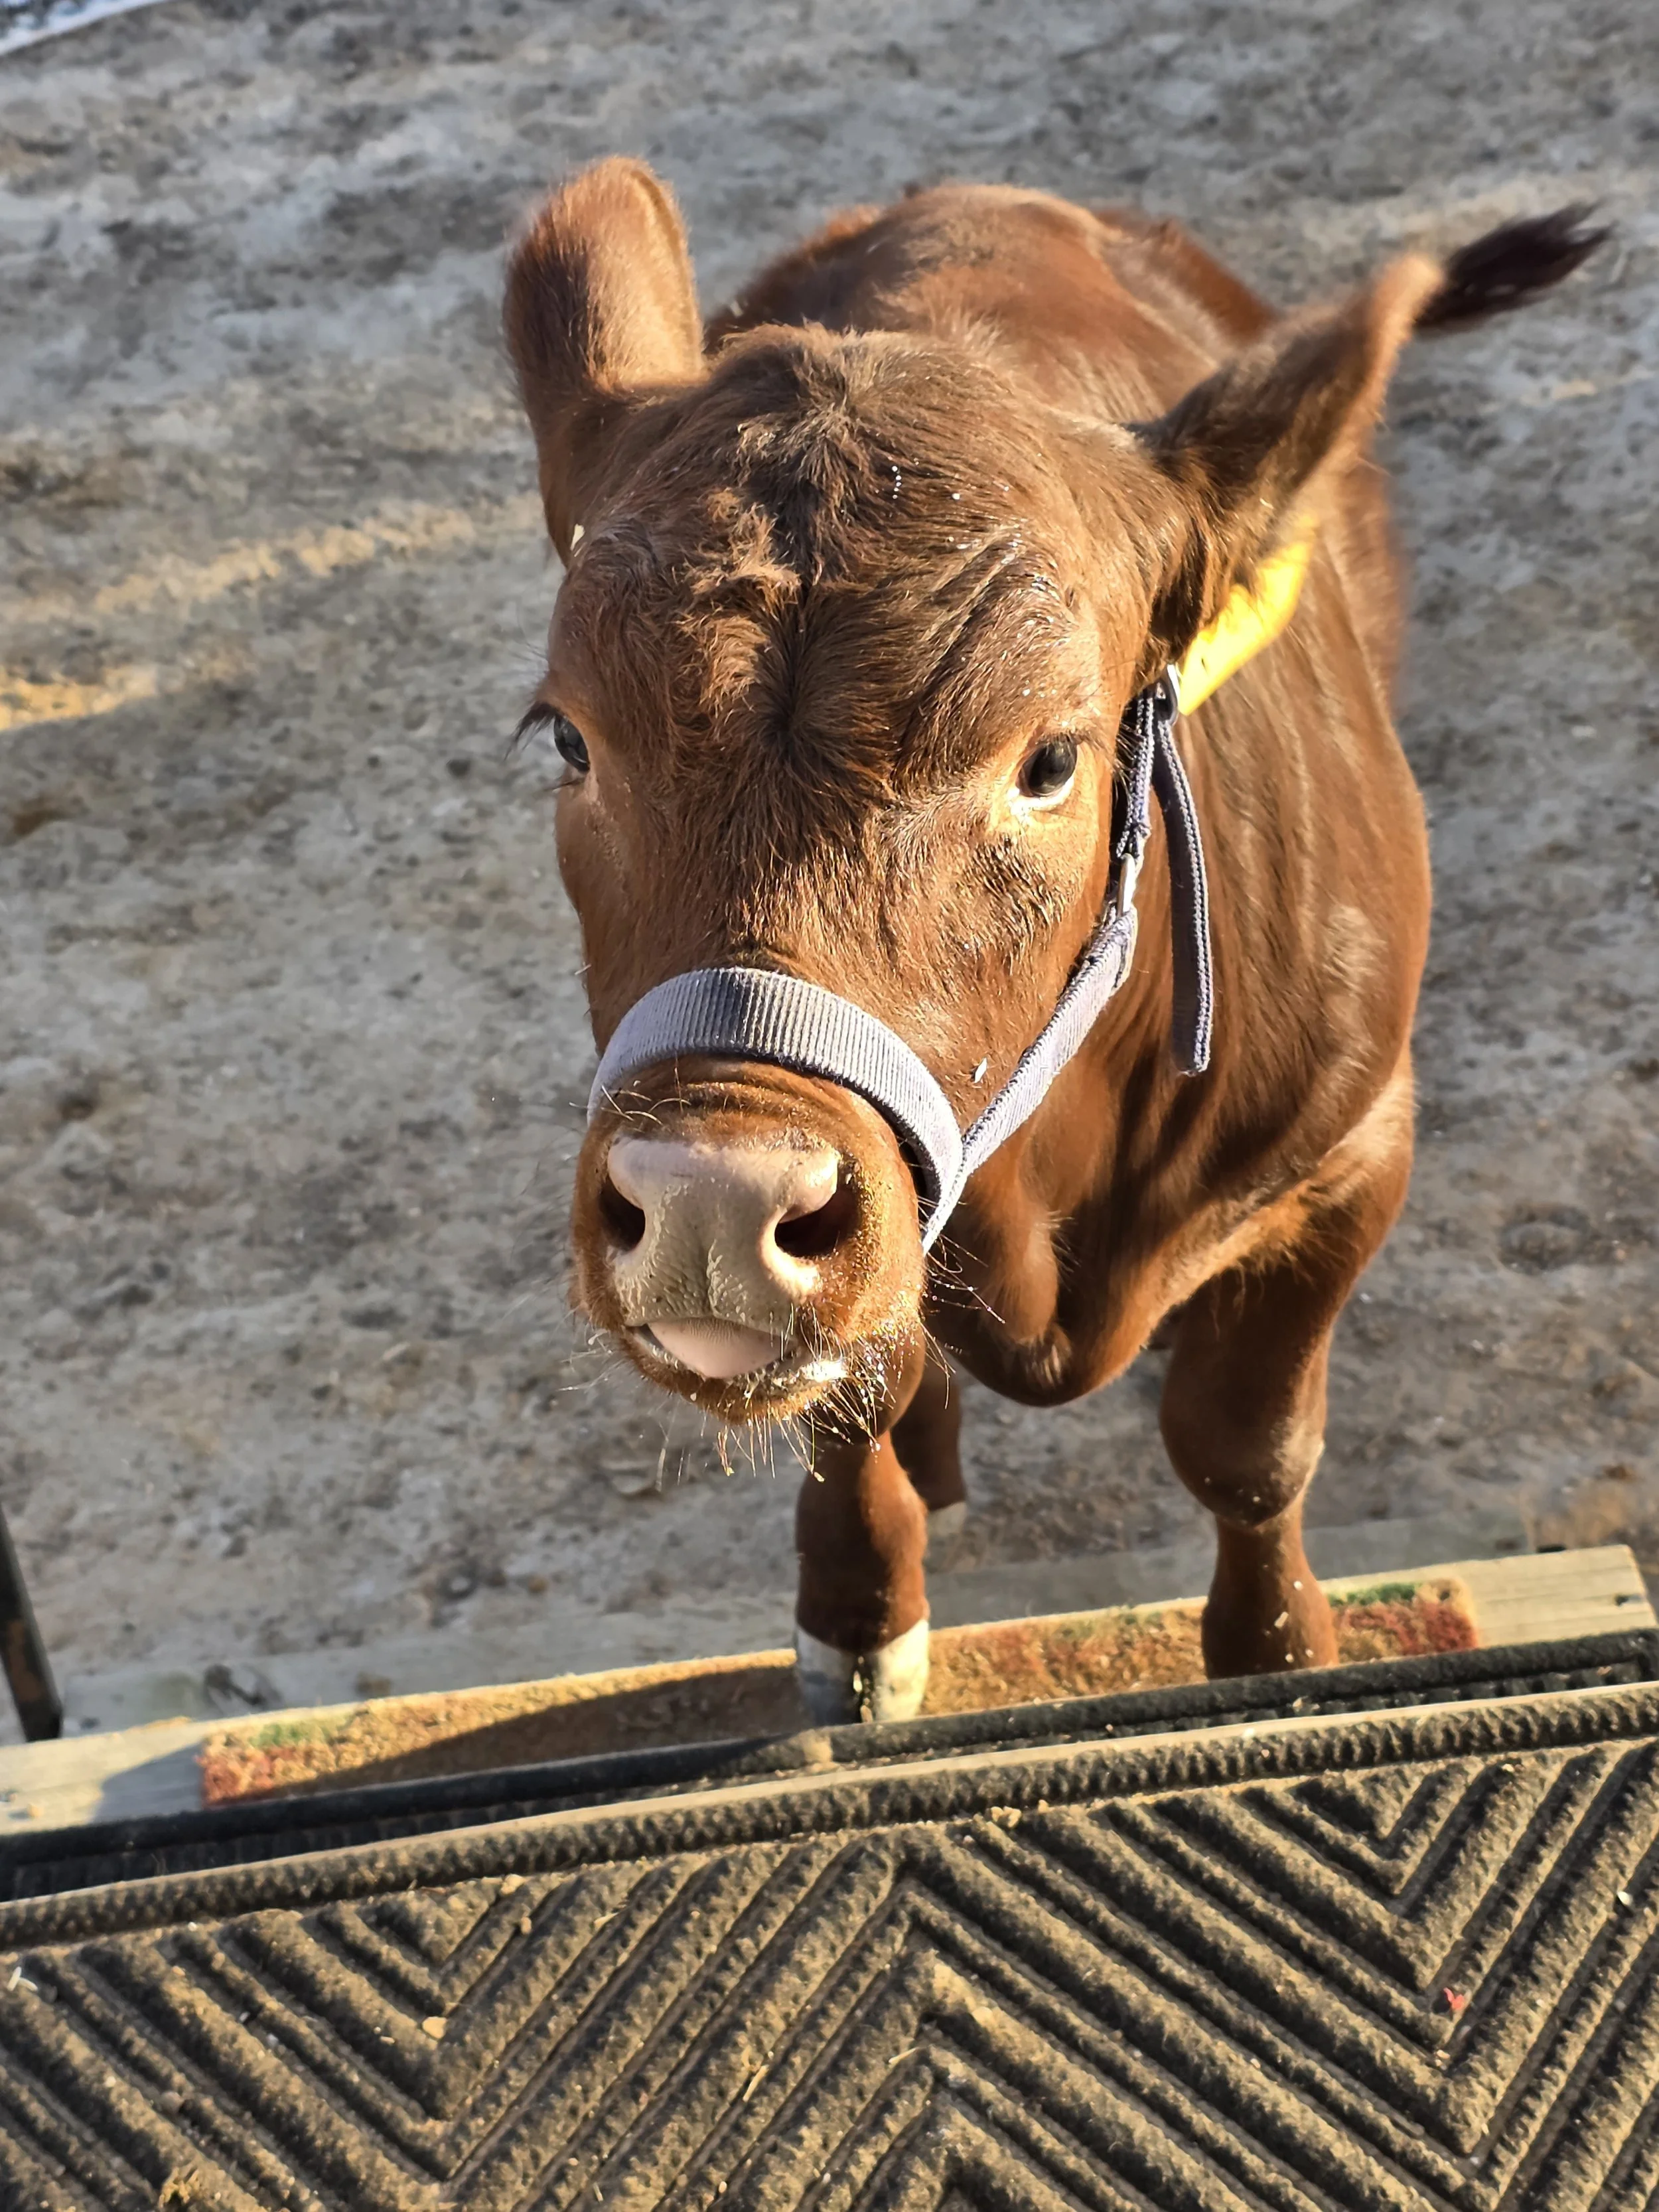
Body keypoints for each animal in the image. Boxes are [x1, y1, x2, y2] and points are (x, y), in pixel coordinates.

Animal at [502, 162, 1600, 1723]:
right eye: (568, 738)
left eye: (1051, 760)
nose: (715, 1199)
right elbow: (857, 1400)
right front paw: (858, 1614)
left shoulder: (1351, 1149)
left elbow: (1248, 1443)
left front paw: (1275, 1652)